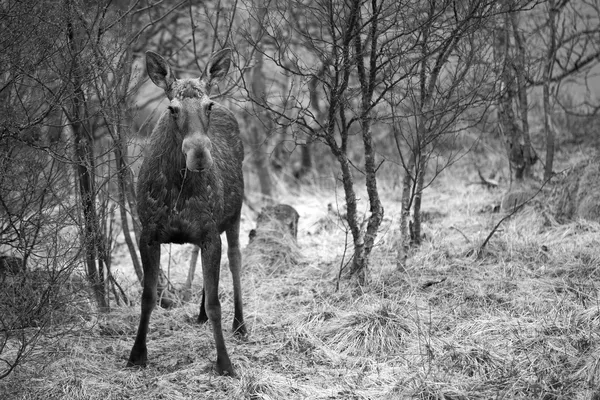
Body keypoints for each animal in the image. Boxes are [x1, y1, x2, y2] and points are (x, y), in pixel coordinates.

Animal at [127, 48, 247, 376]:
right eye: (172, 108)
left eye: (208, 105)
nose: (199, 154)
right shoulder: (149, 234)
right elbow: (148, 296)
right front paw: (137, 354)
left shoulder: (209, 233)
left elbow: (217, 303)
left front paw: (224, 362)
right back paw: (201, 314)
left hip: (234, 214)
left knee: (235, 260)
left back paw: (240, 324)